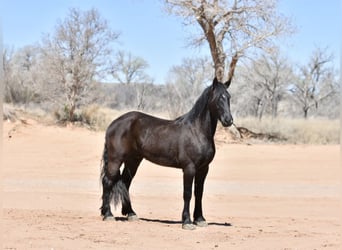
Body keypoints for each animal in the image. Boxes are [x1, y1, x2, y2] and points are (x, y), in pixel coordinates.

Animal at [100, 77, 234, 229]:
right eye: (218, 98)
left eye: (228, 97)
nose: (228, 120)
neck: (197, 131)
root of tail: (113, 124)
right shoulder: (189, 168)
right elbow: (187, 193)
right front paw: (187, 221)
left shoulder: (203, 169)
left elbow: (199, 193)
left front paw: (200, 219)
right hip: (115, 159)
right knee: (107, 182)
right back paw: (108, 214)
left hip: (133, 160)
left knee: (124, 183)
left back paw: (131, 214)